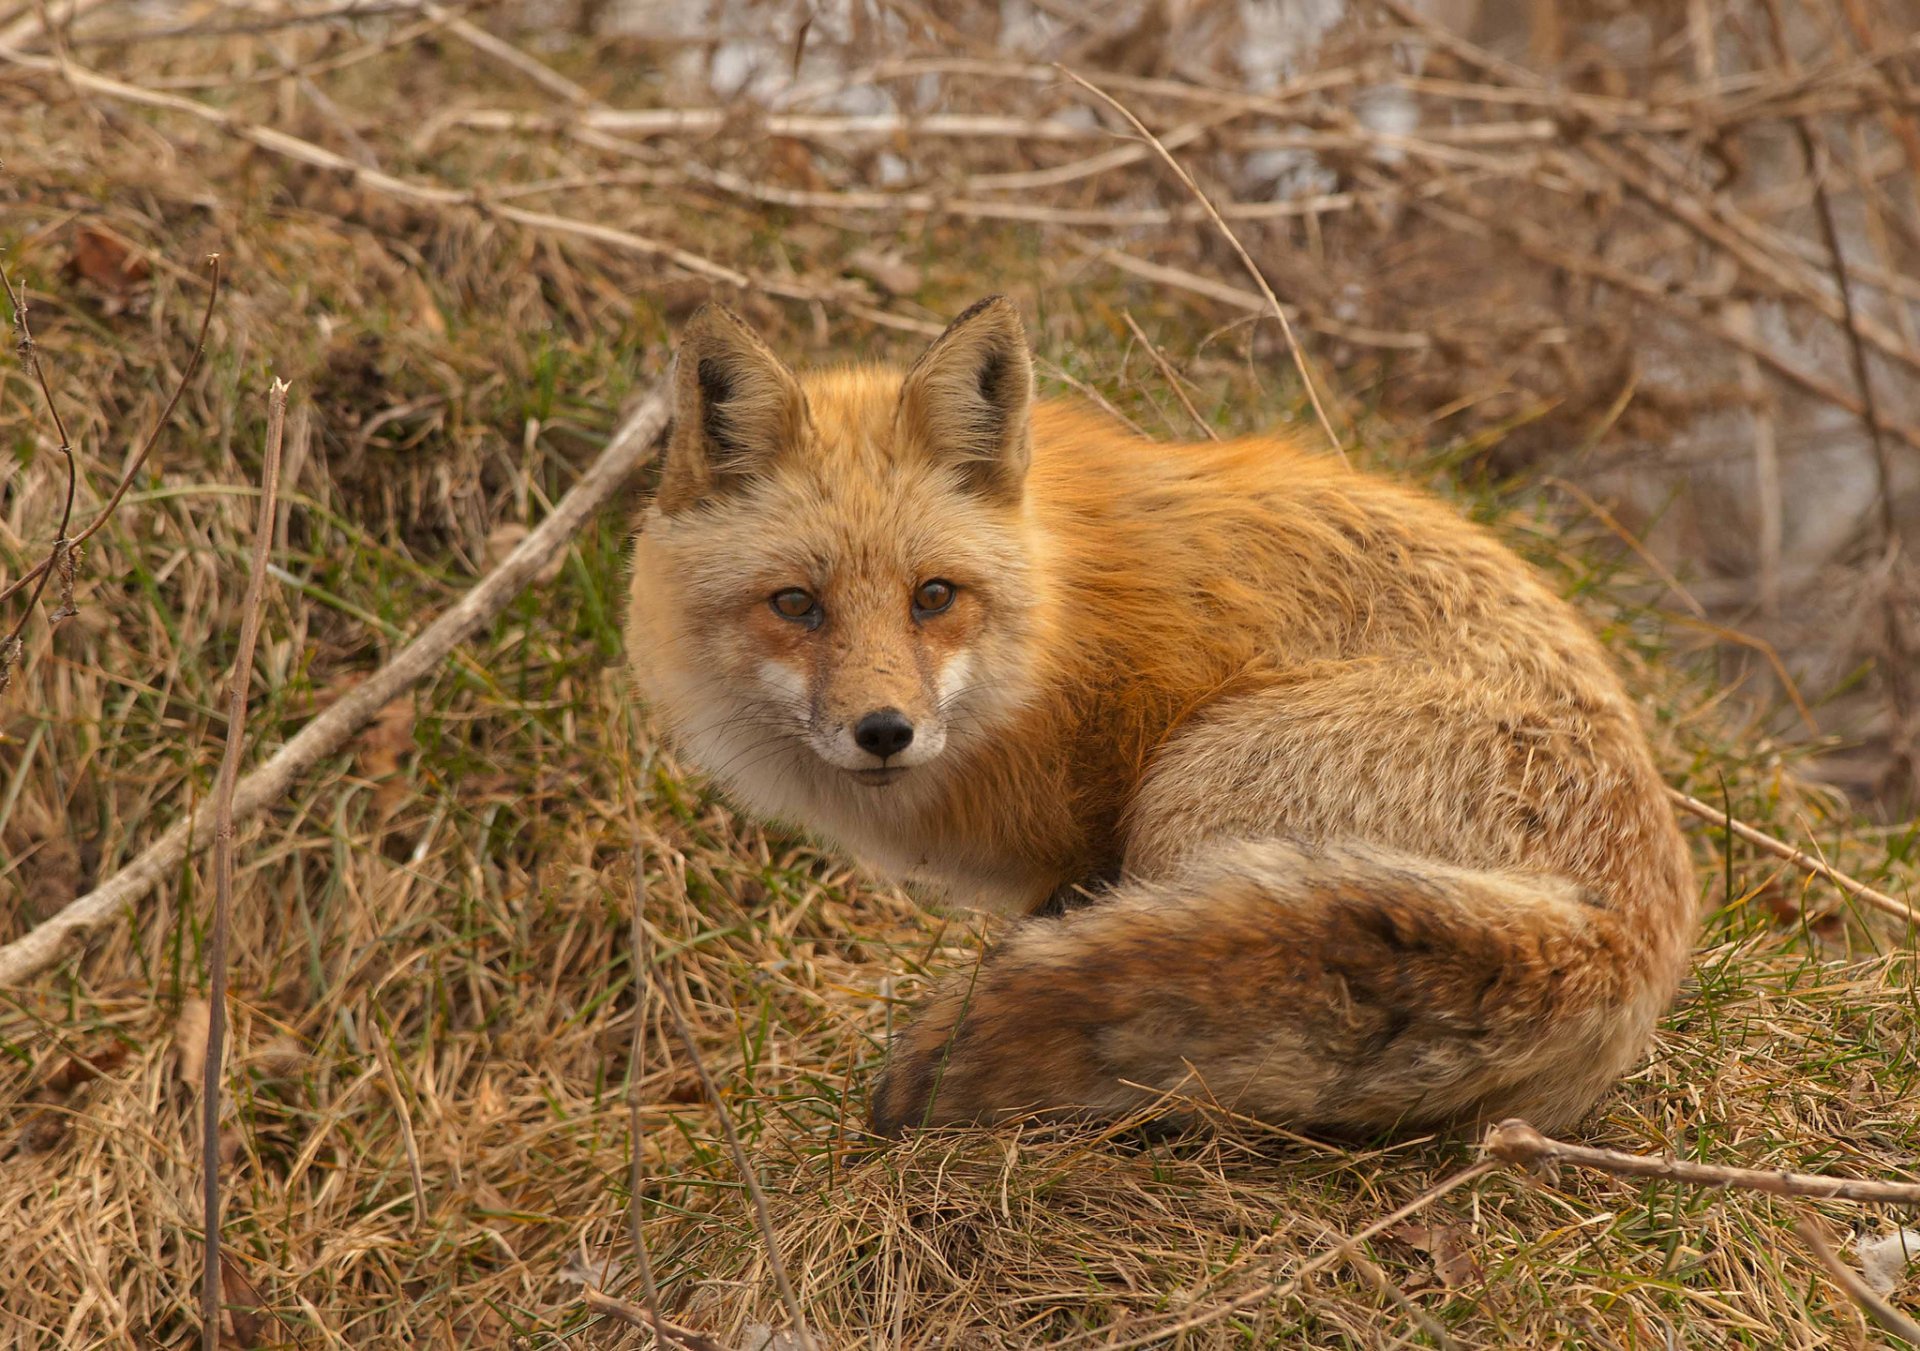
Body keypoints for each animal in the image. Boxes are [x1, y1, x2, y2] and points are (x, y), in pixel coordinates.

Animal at [624, 295, 1699, 1140]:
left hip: (1192, 790)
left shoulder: (1088, 845)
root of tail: (1622, 934)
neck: (1057, 636)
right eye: (796, 604)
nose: (885, 730)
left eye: (933, 596)